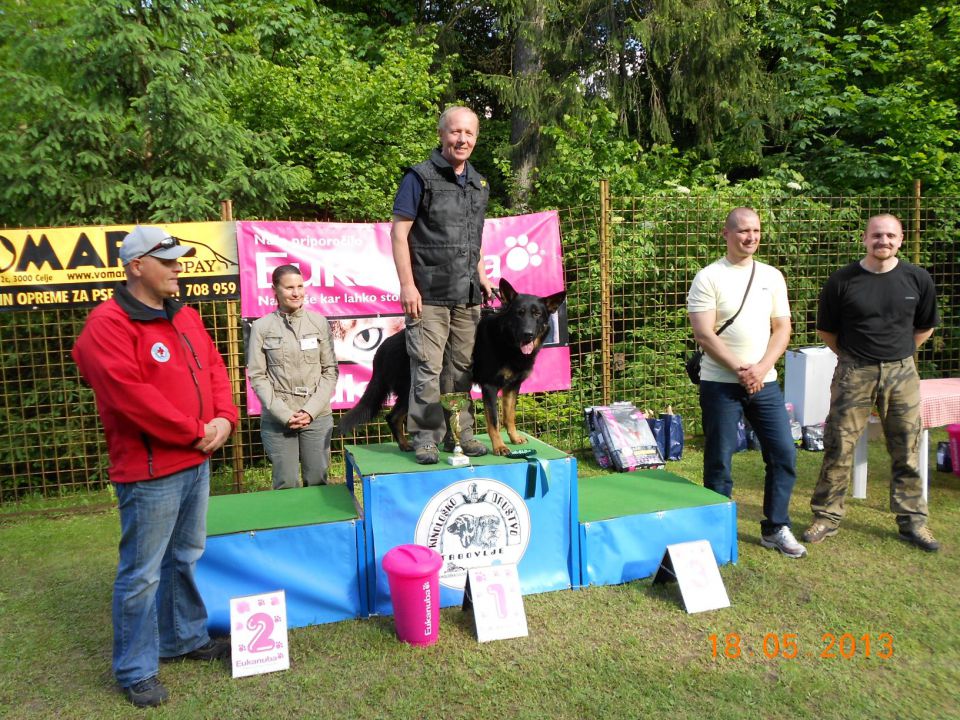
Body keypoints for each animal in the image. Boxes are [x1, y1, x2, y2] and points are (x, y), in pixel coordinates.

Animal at [336, 278, 564, 456]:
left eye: (537, 314)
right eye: (519, 313)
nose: (528, 334)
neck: (507, 341)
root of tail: (382, 349)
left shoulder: (512, 387)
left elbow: (509, 417)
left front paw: (515, 438)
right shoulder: (490, 387)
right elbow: (494, 421)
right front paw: (499, 447)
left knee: (392, 417)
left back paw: (404, 445)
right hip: (414, 388)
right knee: (394, 416)